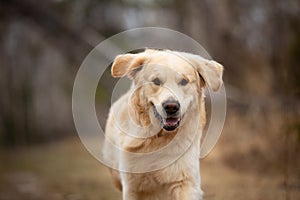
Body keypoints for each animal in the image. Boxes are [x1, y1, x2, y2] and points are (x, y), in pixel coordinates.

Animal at [103, 48, 223, 200]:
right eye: (156, 81)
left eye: (184, 81)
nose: (171, 106)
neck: (158, 139)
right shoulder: (132, 186)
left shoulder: (185, 181)